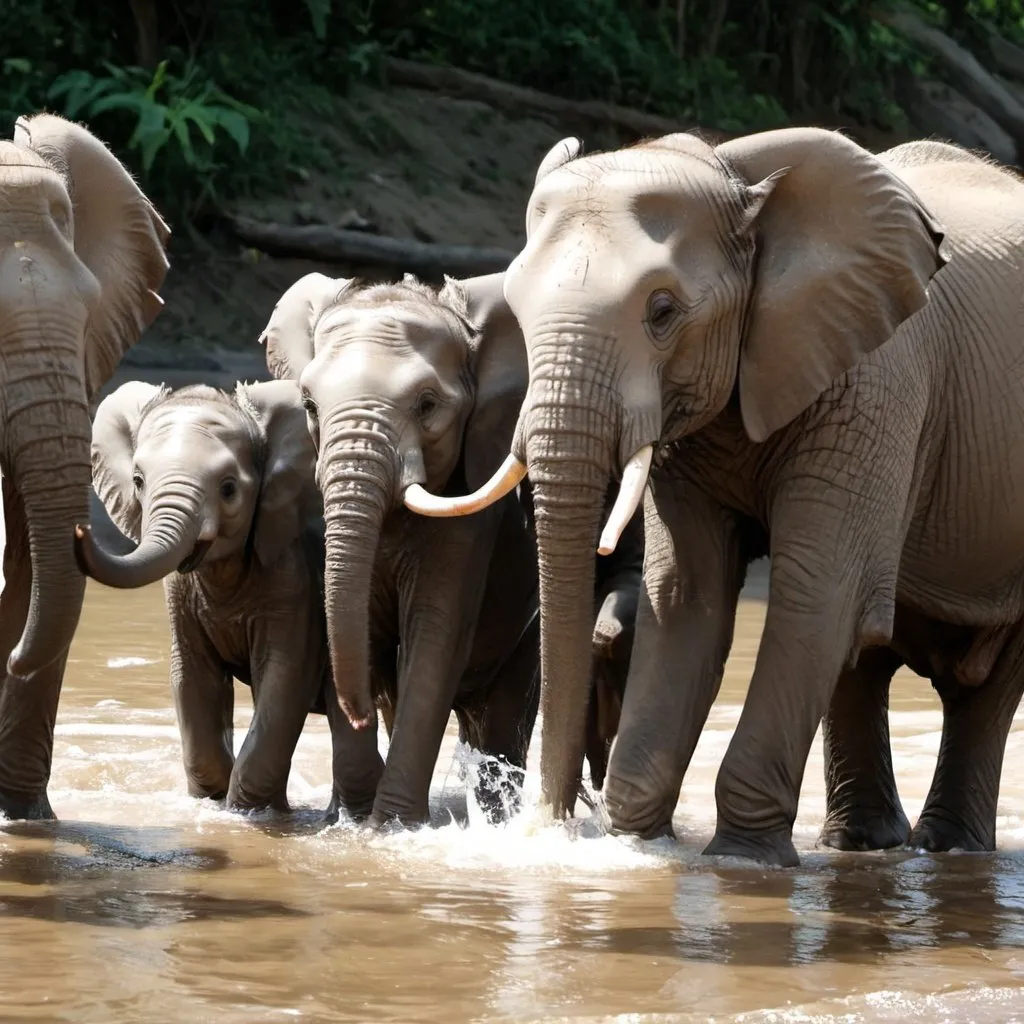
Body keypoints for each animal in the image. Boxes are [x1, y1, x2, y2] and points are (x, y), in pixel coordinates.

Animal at [74, 380, 335, 811]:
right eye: (138, 481)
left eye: (228, 489)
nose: (80, 530)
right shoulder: (179, 594)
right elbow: (193, 677)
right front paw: (211, 801)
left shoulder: (290, 576)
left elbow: (283, 677)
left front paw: (250, 811)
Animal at [258, 270, 544, 823]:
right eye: (309, 406)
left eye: (427, 405)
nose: (356, 713)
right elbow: (358, 626)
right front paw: (352, 819)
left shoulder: (469, 503)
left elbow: (434, 631)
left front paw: (392, 826)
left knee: (505, 718)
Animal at [405, 125, 1024, 864]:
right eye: (520, 315)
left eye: (663, 312)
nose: (544, 829)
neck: (732, 174)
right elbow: (687, 593)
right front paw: (636, 841)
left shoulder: (876, 385)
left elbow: (817, 590)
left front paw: (741, 860)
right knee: (869, 660)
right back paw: (865, 845)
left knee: (978, 680)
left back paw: (947, 848)